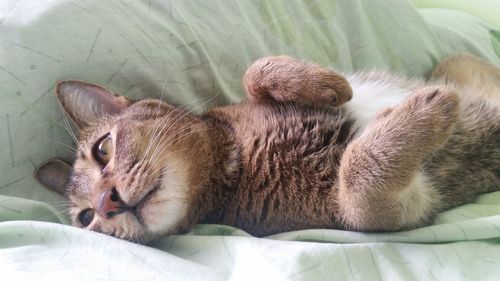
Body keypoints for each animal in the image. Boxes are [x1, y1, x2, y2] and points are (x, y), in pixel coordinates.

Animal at [33, 53, 498, 242]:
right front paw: (432, 109)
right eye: (86, 218)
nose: (107, 203)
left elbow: (253, 71)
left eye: (103, 150)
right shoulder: (392, 211)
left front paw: (329, 84)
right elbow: (358, 180)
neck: (237, 164)